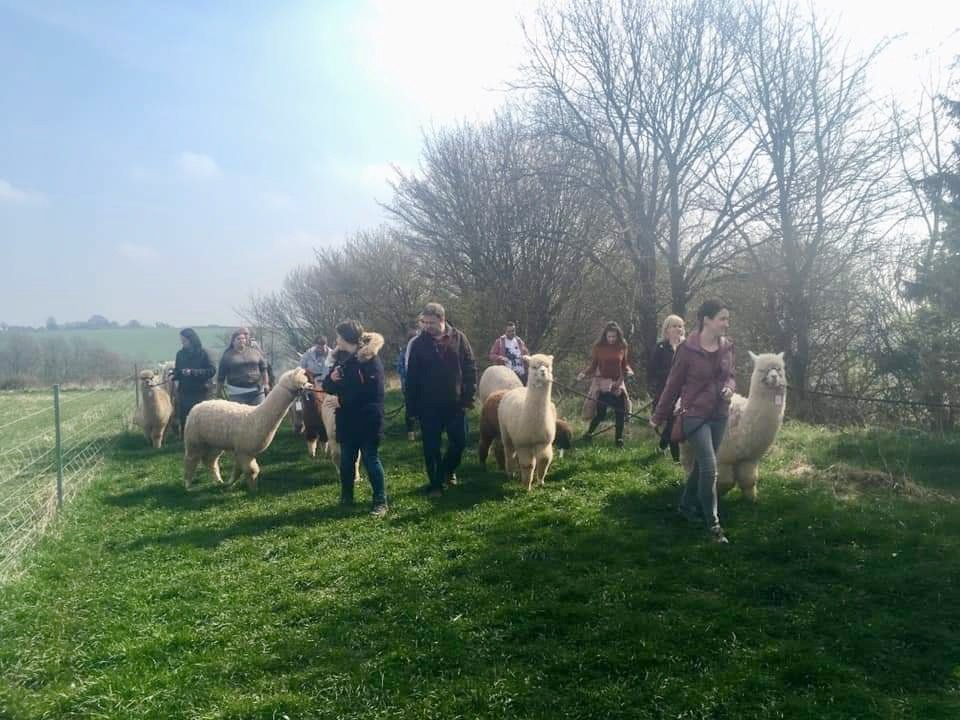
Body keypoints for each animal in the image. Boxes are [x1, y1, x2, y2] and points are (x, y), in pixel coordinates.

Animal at [183, 367, 312, 491]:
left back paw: (219, 481)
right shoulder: (244, 450)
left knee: (210, 461)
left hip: (214, 443)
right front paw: (253, 490)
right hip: (194, 440)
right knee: (191, 460)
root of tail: (197, 406)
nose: (311, 386)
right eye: (303, 382)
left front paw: (231, 483)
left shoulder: (244, 450)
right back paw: (188, 485)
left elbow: (240, 469)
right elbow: (252, 471)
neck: (257, 417)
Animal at [497, 354, 557, 490]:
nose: (543, 372)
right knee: (509, 452)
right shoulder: (523, 443)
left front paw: (540, 481)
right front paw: (526, 486)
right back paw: (510, 473)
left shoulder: (543, 441)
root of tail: (517, 389)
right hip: (505, 432)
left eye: (547, 366)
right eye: (534, 366)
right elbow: (527, 465)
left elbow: (544, 460)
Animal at [680, 352, 787, 501]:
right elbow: (726, 481)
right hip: (687, 442)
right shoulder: (723, 457)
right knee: (688, 461)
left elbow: (749, 480)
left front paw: (751, 499)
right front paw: (717, 495)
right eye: (762, 370)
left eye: (779, 369)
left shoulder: (749, 458)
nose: (774, 377)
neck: (742, 423)